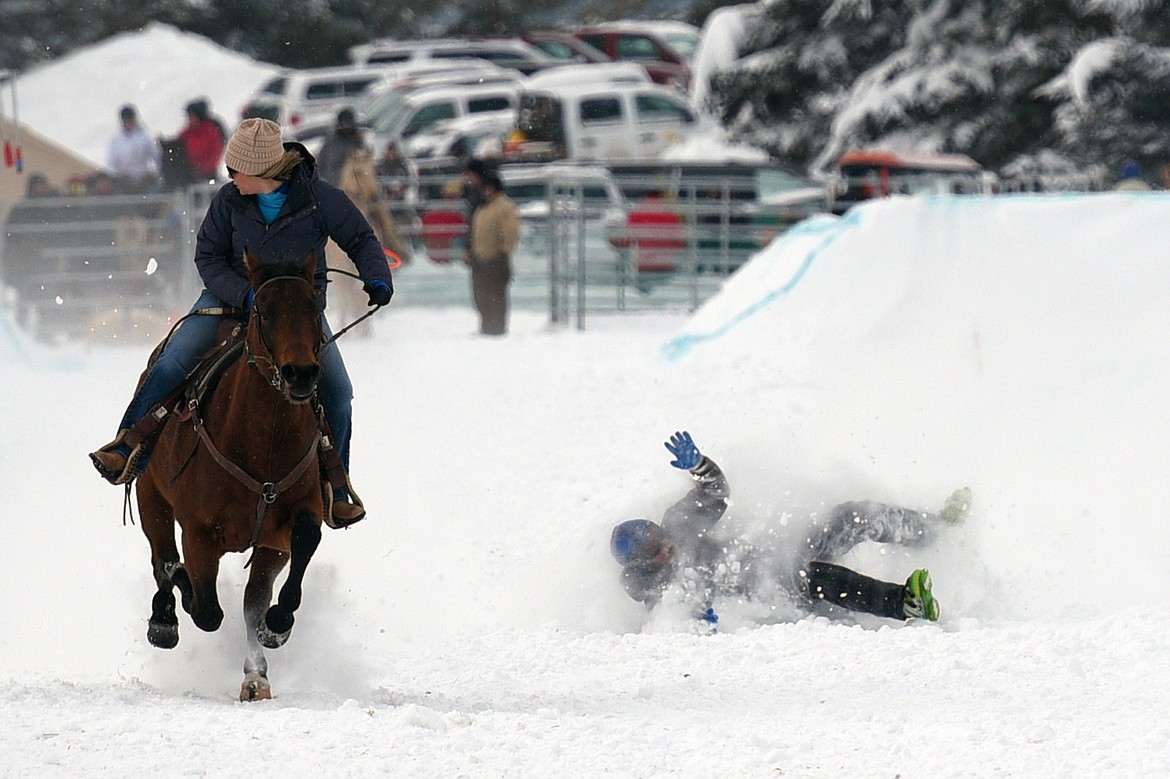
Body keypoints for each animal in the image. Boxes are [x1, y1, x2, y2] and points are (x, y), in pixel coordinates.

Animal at [137, 246, 329, 697]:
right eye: (263, 310)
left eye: (314, 307)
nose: (300, 373)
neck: (264, 440)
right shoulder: (198, 531)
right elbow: (206, 609)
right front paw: (184, 601)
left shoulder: (286, 526)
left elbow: (300, 545)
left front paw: (277, 625)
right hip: (150, 495)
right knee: (162, 558)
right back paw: (164, 619)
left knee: (248, 599)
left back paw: (256, 674)